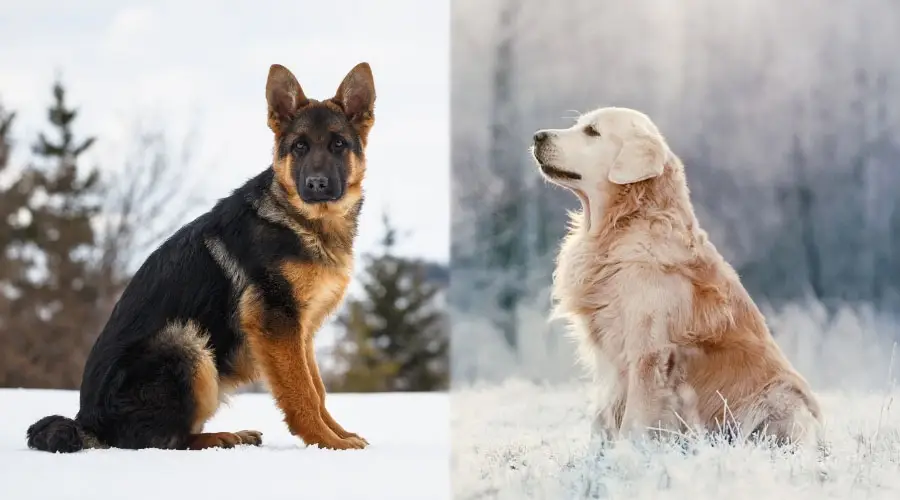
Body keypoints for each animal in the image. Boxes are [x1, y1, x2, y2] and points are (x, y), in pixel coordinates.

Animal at [25, 61, 376, 454]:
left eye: (338, 144)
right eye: (300, 147)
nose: (316, 184)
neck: (302, 221)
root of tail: (88, 422)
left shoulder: (301, 332)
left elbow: (318, 389)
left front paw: (338, 434)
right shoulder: (276, 324)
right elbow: (303, 393)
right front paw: (326, 442)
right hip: (187, 344)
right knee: (158, 440)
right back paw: (222, 437)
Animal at [536, 106, 824, 446]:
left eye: (591, 132)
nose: (537, 136)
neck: (622, 225)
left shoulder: (649, 354)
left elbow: (634, 419)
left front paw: (626, 453)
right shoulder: (610, 363)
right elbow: (602, 415)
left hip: (781, 399)